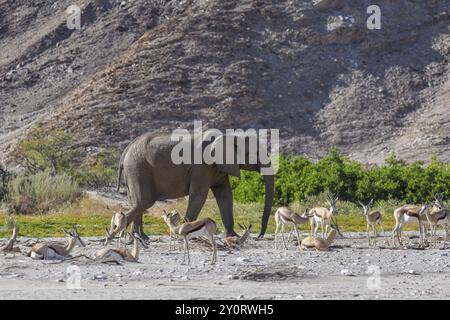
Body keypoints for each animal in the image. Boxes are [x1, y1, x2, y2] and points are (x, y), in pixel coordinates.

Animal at [112, 130, 274, 240]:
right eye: (255, 153)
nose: (259, 236)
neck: (230, 136)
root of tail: (127, 149)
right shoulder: (201, 167)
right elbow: (199, 195)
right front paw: (186, 232)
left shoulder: (219, 168)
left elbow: (225, 195)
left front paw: (232, 235)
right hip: (138, 169)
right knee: (144, 201)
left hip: (134, 170)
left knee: (137, 202)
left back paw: (141, 237)